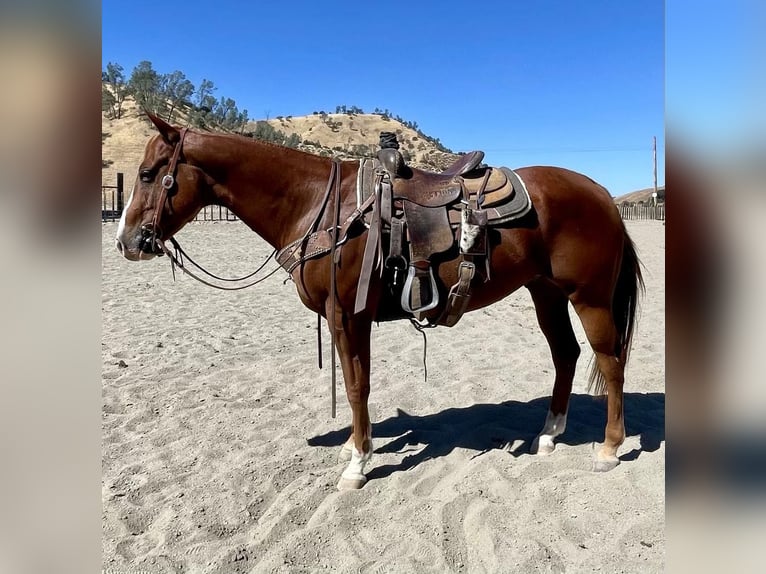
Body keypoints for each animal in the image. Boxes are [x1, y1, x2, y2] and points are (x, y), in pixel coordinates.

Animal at [115, 113, 640, 490]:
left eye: (148, 174)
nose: (127, 241)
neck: (319, 205)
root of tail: (604, 195)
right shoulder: (347, 318)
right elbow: (357, 384)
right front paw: (355, 449)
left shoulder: (348, 315)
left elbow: (355, 387)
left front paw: (358, 464)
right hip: (546, 293)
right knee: (566, 355)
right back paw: (549, 435)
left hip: (590, 297)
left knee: (610, 363)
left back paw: (609, 449)